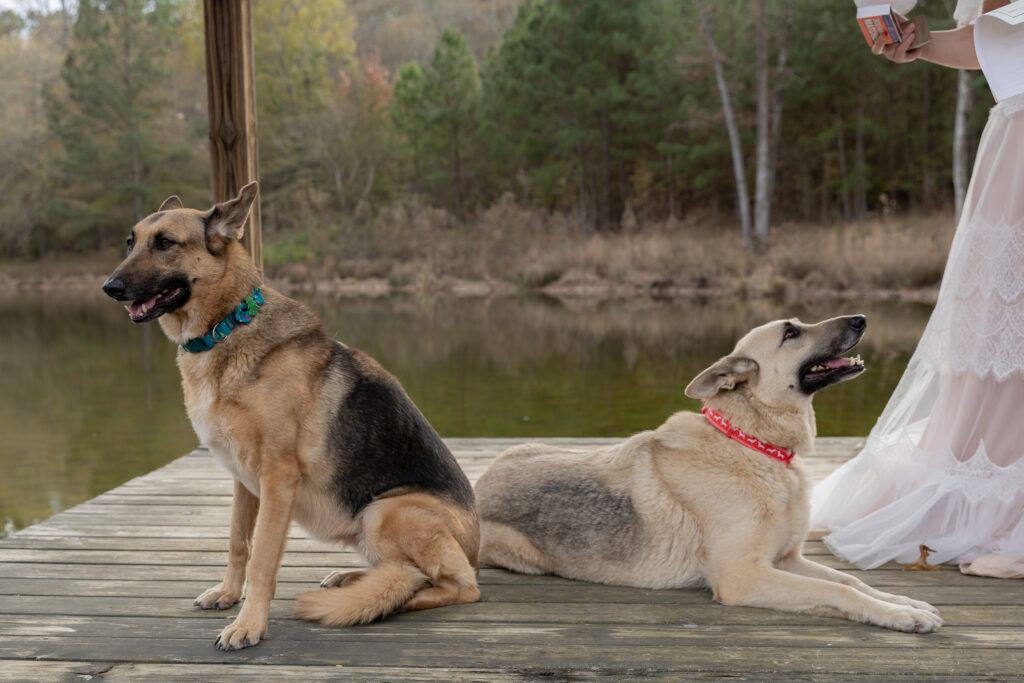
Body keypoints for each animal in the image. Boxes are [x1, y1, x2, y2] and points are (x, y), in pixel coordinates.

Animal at [103, 183, 479, 651]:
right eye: (130, 242)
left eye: (166, 243)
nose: (109, 287)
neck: (227, 326)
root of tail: (477, 544)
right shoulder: (243, 480)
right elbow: (238, 543)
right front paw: (228, 594)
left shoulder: (277, 478)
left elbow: (262, 558)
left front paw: (248, 625)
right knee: (403, 570)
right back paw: (355, 579)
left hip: (384, 511)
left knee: (458, 585)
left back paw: (397, 598)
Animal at [475, 317, 937, 634]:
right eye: (791, 333)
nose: (861, 318)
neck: (753, 445)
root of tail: (481, 482)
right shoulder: (743, 575)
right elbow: (838, 590)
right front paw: (898, 615)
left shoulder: (787, 560)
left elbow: (848, 579)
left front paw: (903, 603)